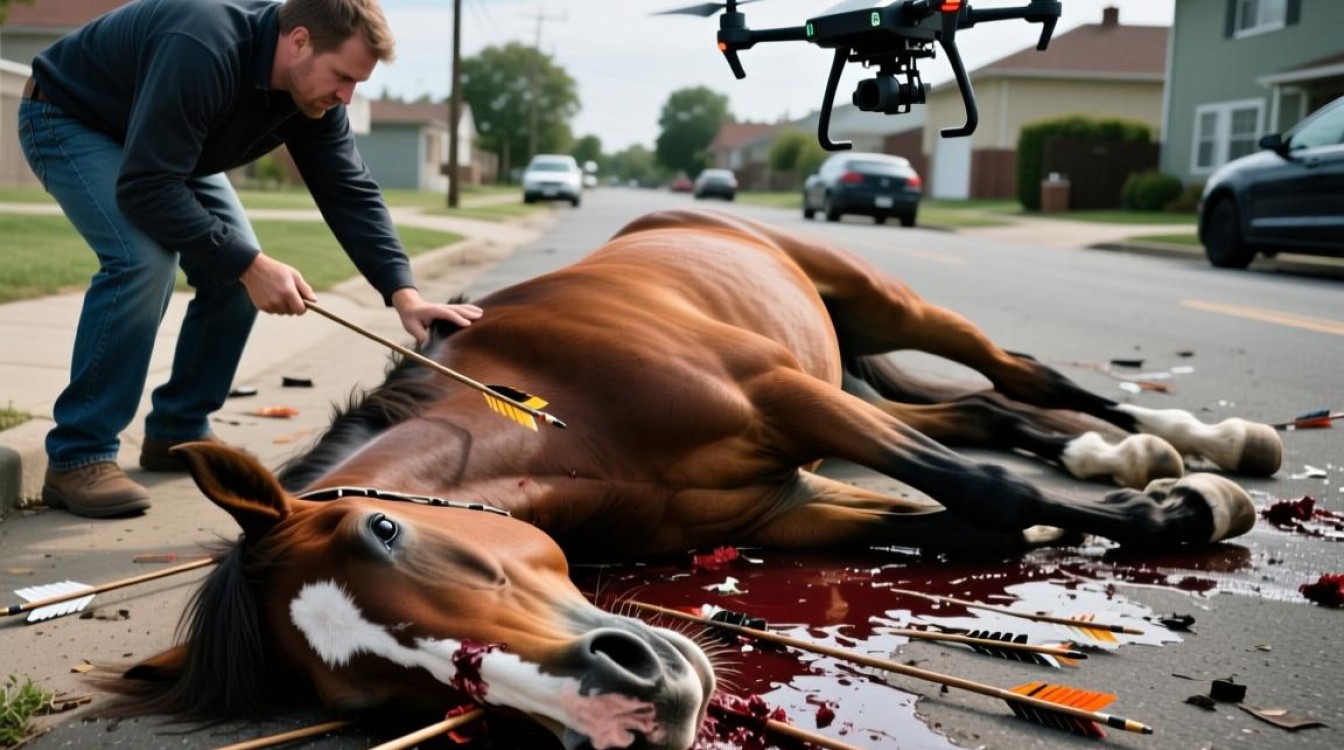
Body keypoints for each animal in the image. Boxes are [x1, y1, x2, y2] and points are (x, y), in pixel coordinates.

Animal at [118, 207, 1280, 749]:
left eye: (384, 533)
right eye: (363, 697)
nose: (624, 714)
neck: (543, 410)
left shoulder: (790, 400)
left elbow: (987, 492)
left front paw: (1178, 512)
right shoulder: (789, 503)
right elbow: (964, 520)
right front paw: (1103, 518)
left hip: (876, 306)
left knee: (1017, 373)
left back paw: (1199, 446)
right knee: (987, 410)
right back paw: (1131, 454)